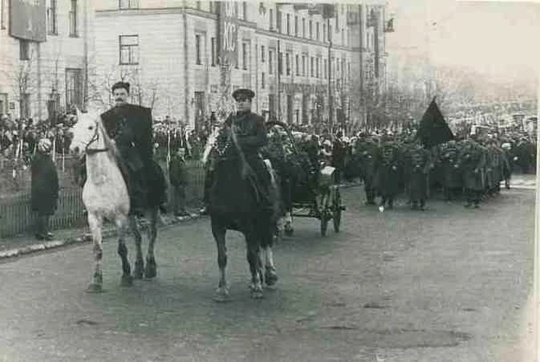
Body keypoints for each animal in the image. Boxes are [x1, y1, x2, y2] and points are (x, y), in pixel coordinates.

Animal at [69, 109, 160, 292]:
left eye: (90, 127)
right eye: (74, 128)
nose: (74, 149)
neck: (101, 181)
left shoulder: (119, 218)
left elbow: (122, 249)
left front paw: (126, 276)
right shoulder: (94, 218)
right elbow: (97, 250)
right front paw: (96, 281)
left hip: (151, 209)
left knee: (151, 234)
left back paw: (149, 268)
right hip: (131, 215)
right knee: (138, 237)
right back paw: (138, 268)